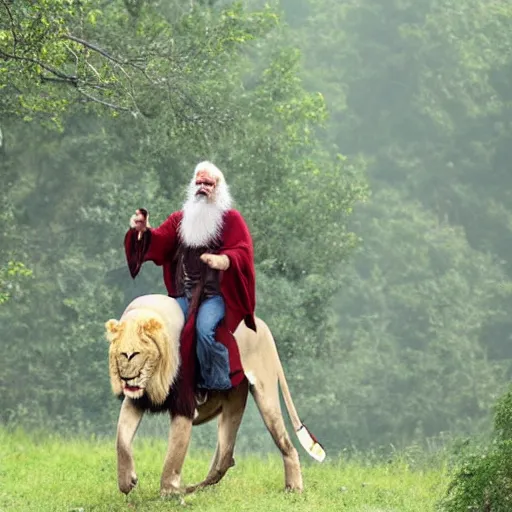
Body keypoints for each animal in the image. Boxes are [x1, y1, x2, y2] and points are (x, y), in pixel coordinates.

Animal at [105, 294, 326, 498]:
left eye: (135, 354)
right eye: (120, 353)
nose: (126, 378)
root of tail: (262, 325)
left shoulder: (185, 408)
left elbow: (173, 456)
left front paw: (168, 493)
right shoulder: (134, 402)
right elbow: (121, 440)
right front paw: (127, 482)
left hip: (264, 397)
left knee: (285, 445)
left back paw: (294, 489)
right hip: (233, 403)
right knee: (225, 459)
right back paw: (192, 488)